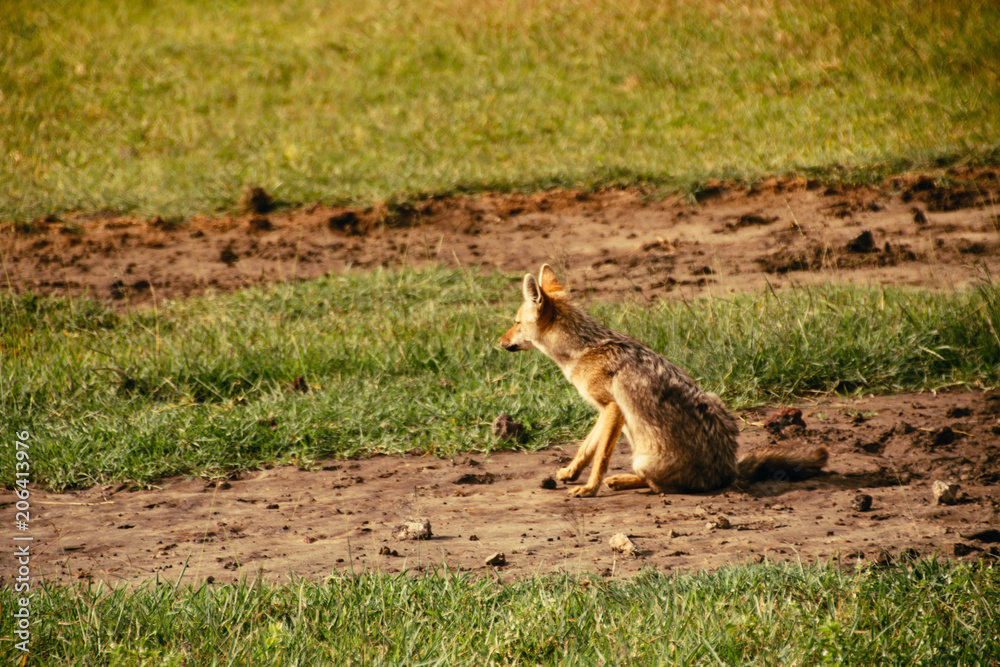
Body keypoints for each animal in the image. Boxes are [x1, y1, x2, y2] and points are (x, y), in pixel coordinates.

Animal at [498, 264, 828, 497]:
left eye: (515, 322)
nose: (498, 342)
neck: (583, 350)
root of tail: (729, 471)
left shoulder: (613, 409)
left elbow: (601, 457)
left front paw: (589, 488)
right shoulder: (604, 411)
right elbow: (586, 447)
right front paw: (569, 473)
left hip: (641, 457)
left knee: (656, 486)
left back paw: (620, 481)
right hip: (713, 401)